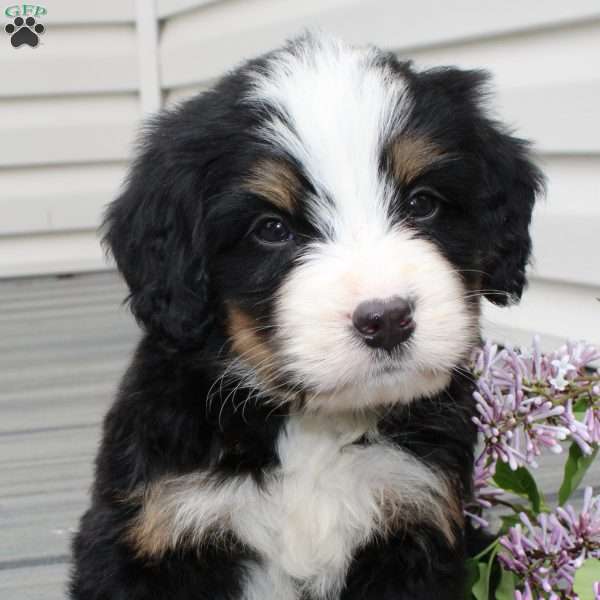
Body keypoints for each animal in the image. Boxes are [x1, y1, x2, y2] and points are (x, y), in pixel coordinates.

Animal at [70, 34, 544, 600]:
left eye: (422, 203)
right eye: (272, 228)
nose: (387, 319)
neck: (315, 428)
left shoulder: (415, 518)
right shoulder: (158, 528)